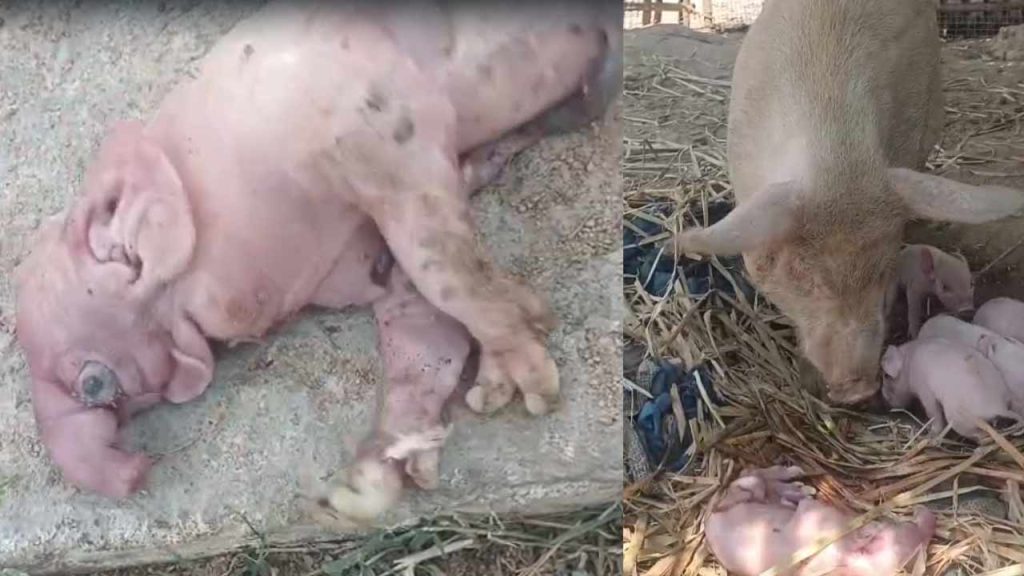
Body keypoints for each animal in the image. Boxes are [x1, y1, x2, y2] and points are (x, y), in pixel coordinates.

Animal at [12, 0, 622, 525]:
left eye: (93, 383)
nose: (140, 470)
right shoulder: (363, 258)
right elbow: (421, 328)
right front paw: (357, 492)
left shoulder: (389, 138)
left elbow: (447, 270)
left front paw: (527, 392)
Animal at [705, 465, 936, 576]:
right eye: (907, 525)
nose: (929, 518)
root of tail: (708, 519)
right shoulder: (814, 513)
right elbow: (808, 505)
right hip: (743, 490)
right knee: (751, 475)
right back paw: (798, 481)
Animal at [880, 339, 1022, 440]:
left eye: (886, 376)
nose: (883, 396)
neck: (909, 364)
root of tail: (998, 407)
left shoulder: (925, 390)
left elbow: (933, 413)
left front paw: (930, 436)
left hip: (958, 418)